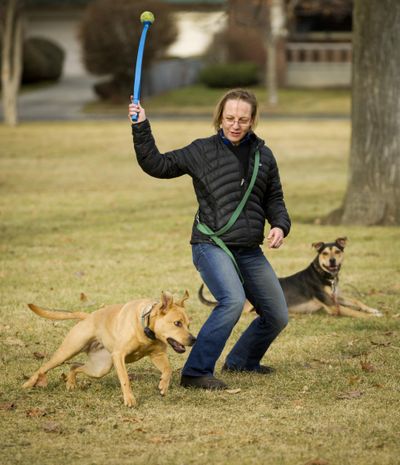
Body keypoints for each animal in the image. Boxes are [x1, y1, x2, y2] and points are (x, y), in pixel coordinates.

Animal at [22, 290, 196, 406]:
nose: (193, 339)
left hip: (100, 368)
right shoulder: (119, 355)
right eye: (177, 323)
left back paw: (71, 382)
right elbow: (125, 379)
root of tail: (88, 317)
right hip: (68, 351)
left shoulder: (158, 355)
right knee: (44, 367)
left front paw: (163, 385)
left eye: (188, 324)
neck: (146, 328)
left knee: (75, 366)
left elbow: (167, 370)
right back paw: (28, 384)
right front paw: (129, 399)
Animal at [198, 237, 382, 318]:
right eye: (324, 253)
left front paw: (373, 310)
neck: (325, 275)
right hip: (249, 305)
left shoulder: (335, 297)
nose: (332, 261)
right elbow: (353, 311)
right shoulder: (332, 306)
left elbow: (357, 302)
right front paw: (372, 317)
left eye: (337, 251)